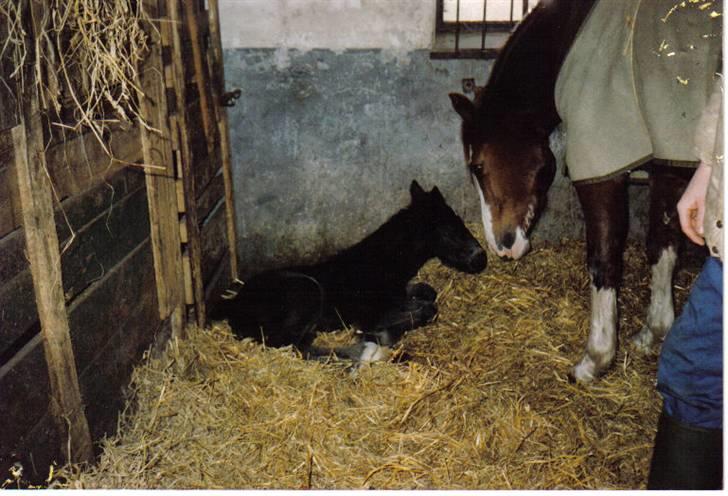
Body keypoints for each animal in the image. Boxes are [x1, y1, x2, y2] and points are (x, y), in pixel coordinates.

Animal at [213, 180, 486, 362]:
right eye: (449, 229)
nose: (481, 259)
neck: (380, 264)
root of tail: (233, 304)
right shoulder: (373, 312)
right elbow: (427, 309)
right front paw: (381, 334)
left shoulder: (402, 291)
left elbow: (428, 294)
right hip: (307, 291)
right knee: (291, 346)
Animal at [450, 0, 724, 382]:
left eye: (476, 166)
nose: (504, 246)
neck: (569, 36)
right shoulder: (667, 161)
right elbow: (662, 244)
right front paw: (653, 331)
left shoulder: (602, 167)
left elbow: (604, 260)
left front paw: (596, 359)